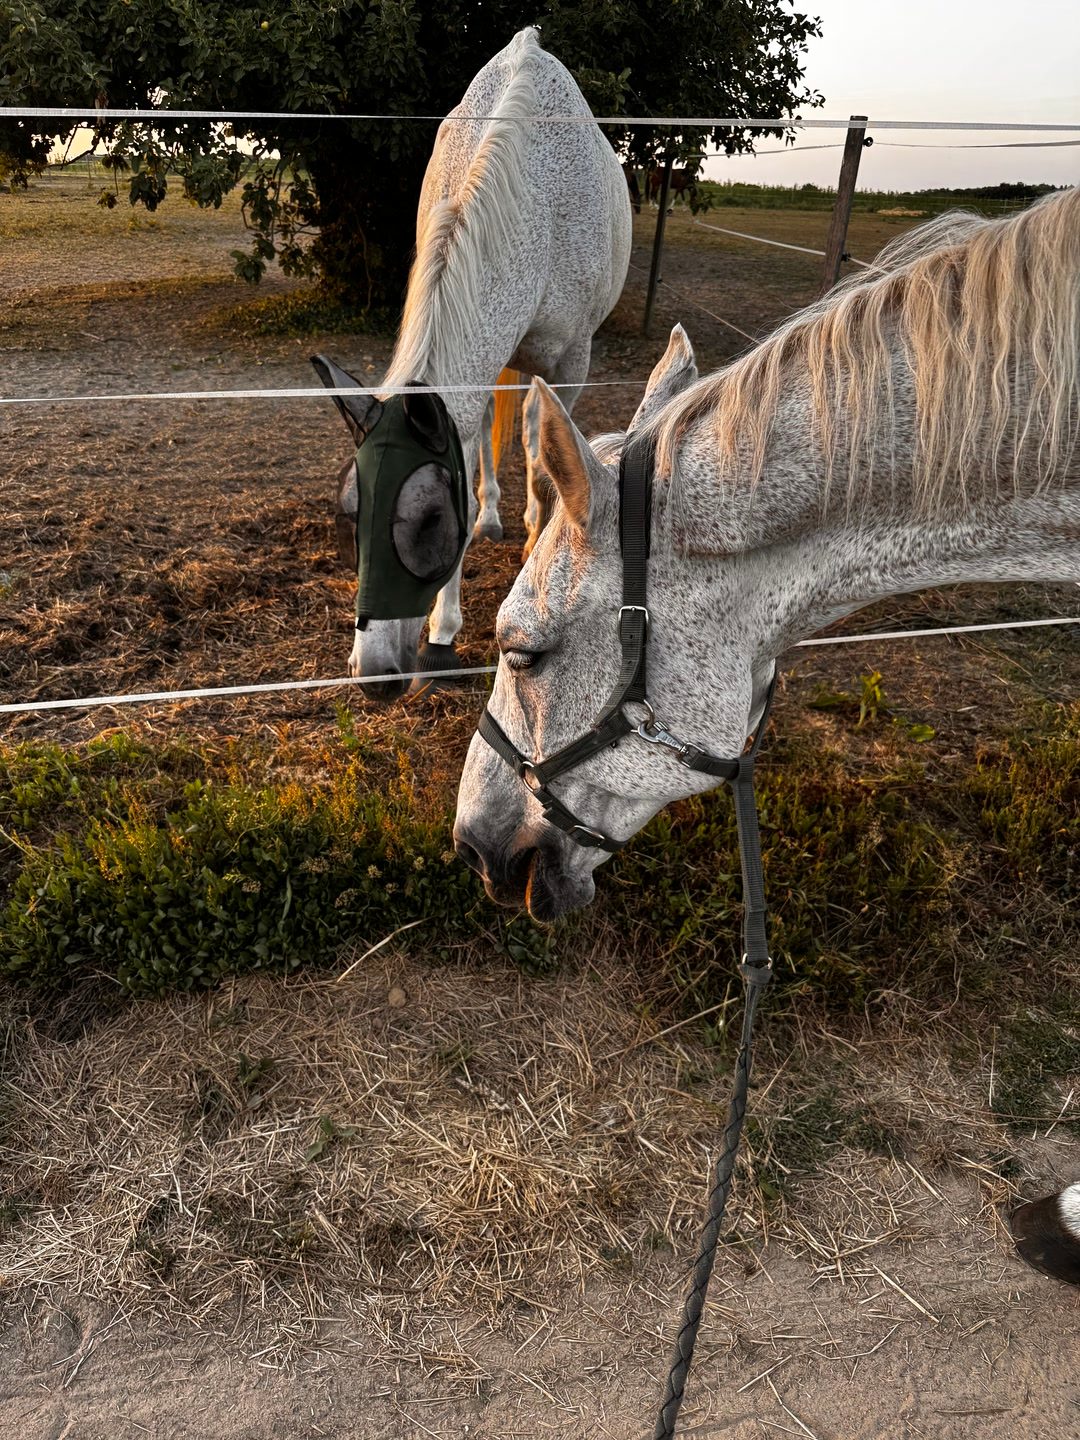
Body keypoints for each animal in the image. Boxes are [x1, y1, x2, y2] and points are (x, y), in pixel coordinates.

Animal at [318, 27, 630, 697]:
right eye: (350, 516)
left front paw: (539, 549)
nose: (373, 676)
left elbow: (548, 452)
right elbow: (471, 440)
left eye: (431, 520)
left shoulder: (572, 359)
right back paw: (492, 515)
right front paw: (443, 632)